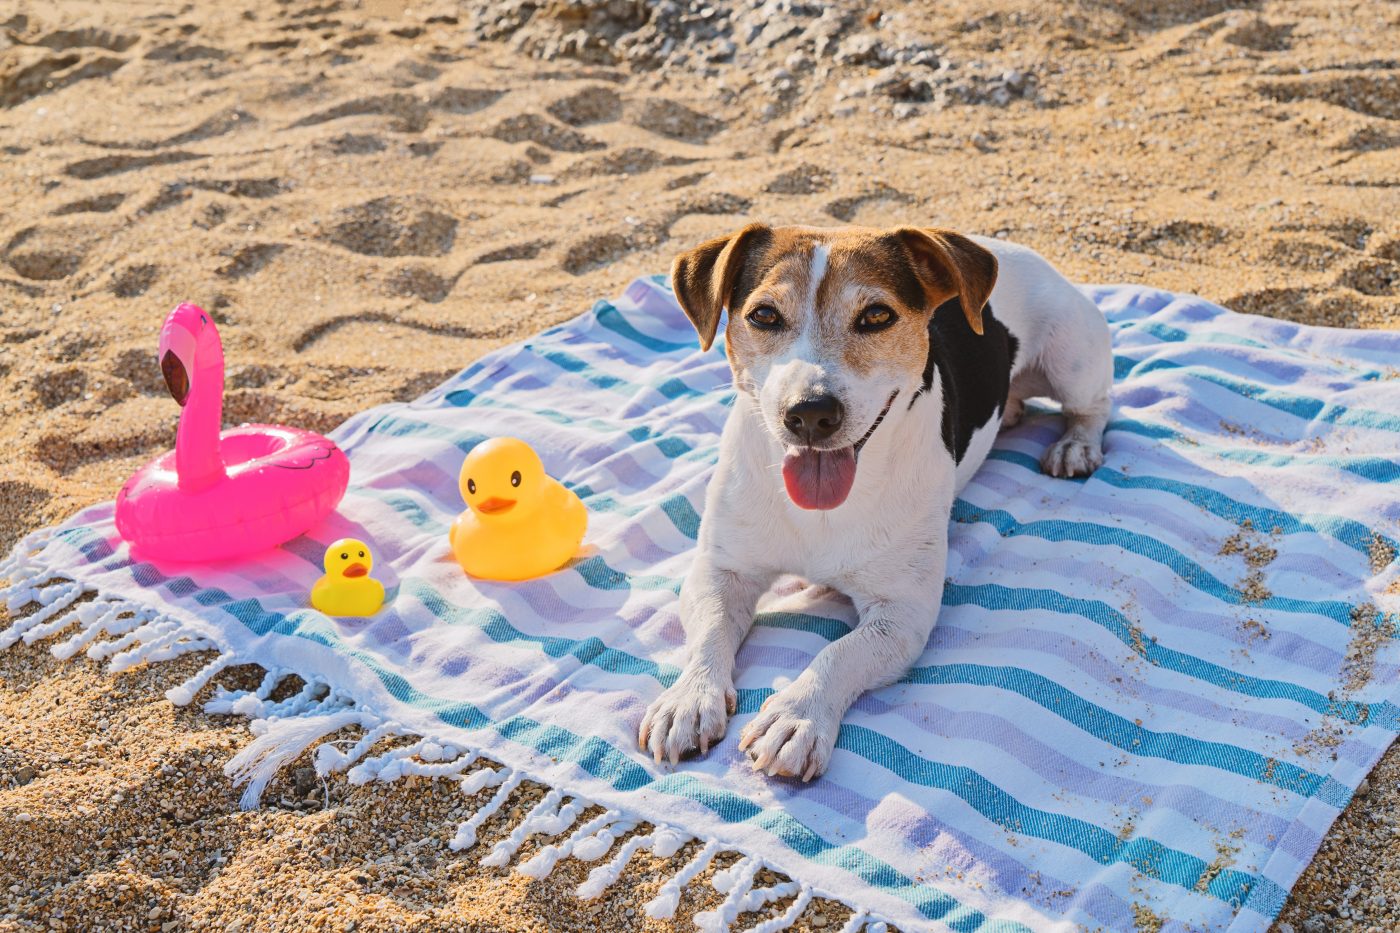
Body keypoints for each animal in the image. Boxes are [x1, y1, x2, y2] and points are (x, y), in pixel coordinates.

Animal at [638, 224, 1114, 778]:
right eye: (764, 315)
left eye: (877, 316)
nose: (810, 413)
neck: (822, 511)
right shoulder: (721, 570)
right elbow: (710, 632)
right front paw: (689, 700)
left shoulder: (902, 612)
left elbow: (841, 653)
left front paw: (797, 715)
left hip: (1071, 356)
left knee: (1093, 407)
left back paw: (1076, 445)